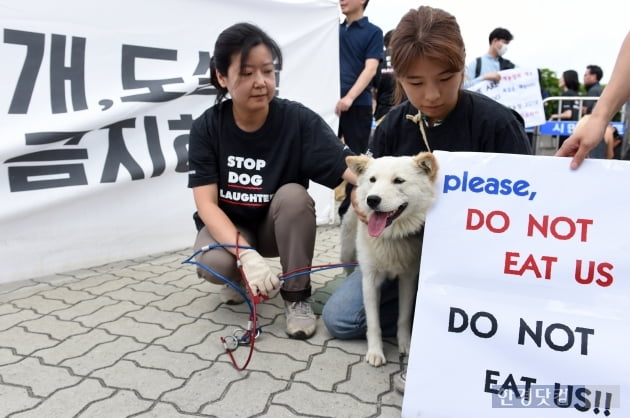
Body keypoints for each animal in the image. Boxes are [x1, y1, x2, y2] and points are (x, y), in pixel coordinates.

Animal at [340, 153, 440, 366]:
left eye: (399, 180)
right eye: (373, 180)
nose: (372, 200)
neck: (391, 237)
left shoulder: (408, 278)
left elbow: (404, 317)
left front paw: (406, 344)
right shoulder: (370, 279)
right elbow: (373, 322)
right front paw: (375, 352)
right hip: (346, 251)